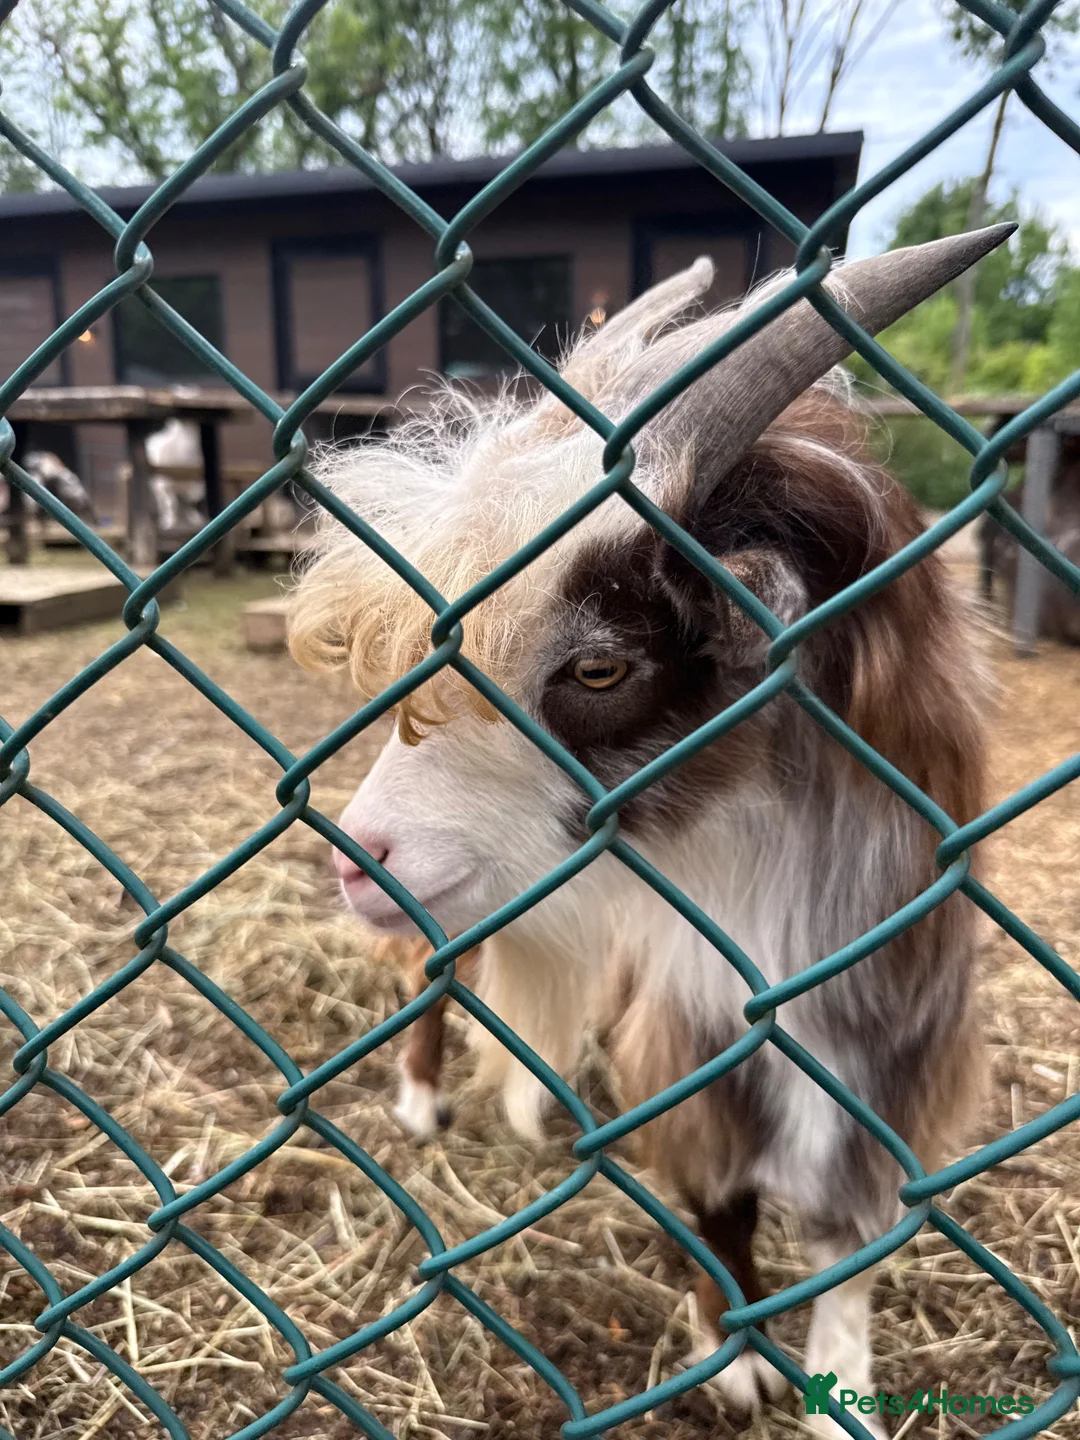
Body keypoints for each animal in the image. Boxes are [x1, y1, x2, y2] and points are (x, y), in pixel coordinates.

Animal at [288, 226, 1009, 1432]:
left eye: (599, 667)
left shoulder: (887, 1060)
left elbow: (849, 1248)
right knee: (440, 971)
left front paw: (841, 1393)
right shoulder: (691, 1053)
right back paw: (429, 1104)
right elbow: (718, 1214)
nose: (360, 858)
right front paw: (736, 1362)